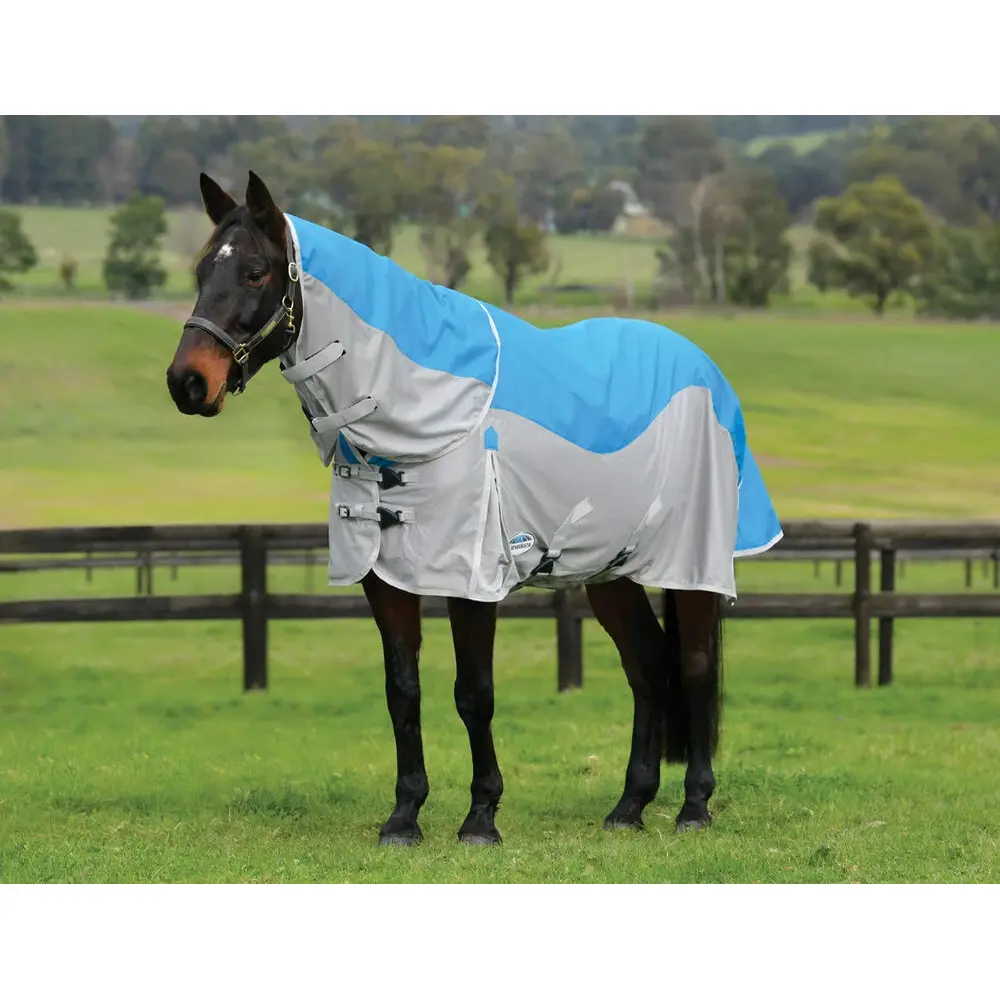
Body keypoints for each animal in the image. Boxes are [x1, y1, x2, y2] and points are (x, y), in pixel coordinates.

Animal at [166, 171, 783, 847]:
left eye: (255, 272)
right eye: (202, 270)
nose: (187, 383)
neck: (420, 413)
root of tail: (705, 372)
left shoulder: (471, 577)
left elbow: (474, 693)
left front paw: (481, 817)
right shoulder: (384, 579)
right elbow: (402, 692)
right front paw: (404, 816)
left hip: (692, 564)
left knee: (692, 666)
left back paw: (694, 807)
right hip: (609, 571)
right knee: (646, 667)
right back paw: (628, 808)